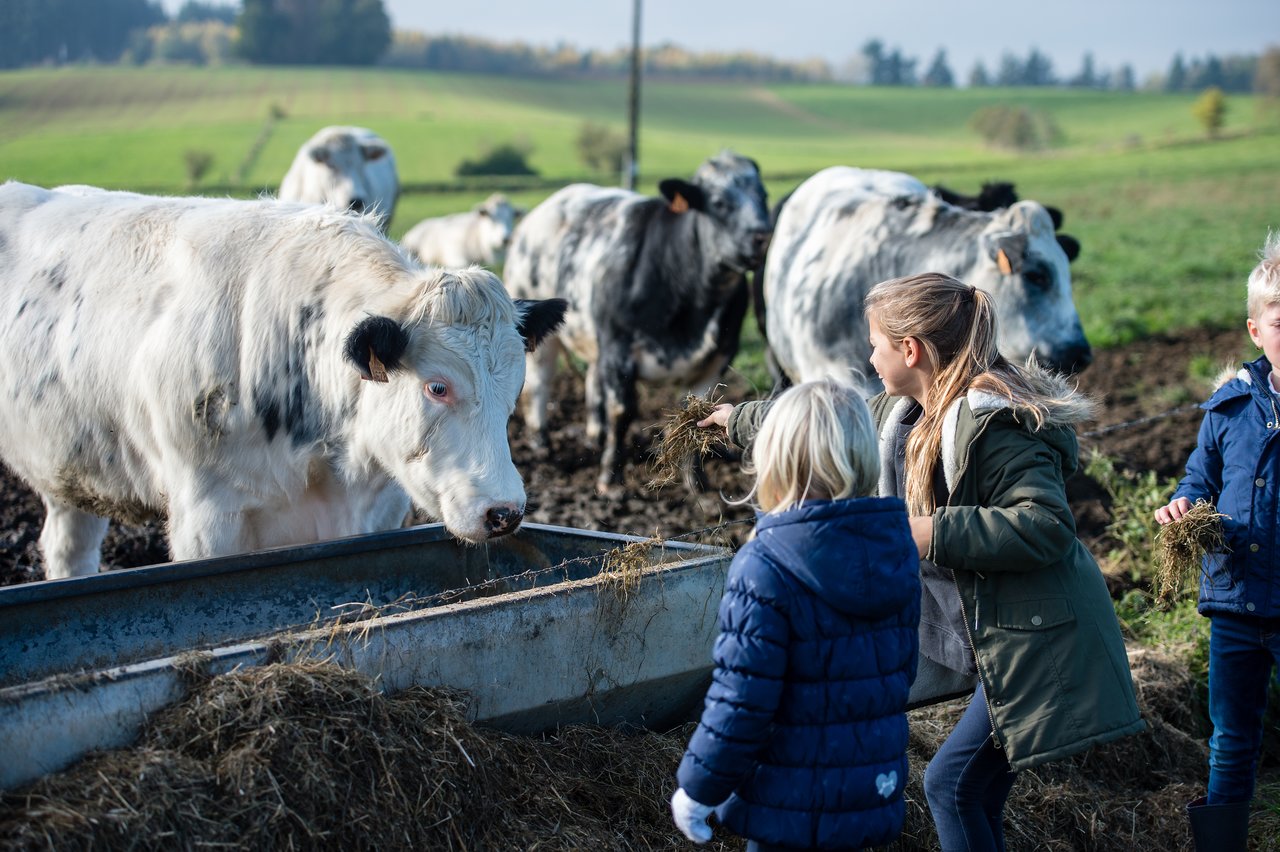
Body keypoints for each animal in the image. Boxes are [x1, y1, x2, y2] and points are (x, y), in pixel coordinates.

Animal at [503, 150, 771, 493]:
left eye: (763, 196)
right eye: (719, 202)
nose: (762, 235)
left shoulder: (718, 357)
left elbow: (697, 413)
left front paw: (695, 481)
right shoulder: (619, 350)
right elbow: (623, 412)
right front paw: (610, 478)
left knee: (593, 380)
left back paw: (595, 435)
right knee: (540, 384)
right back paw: (541, 442)